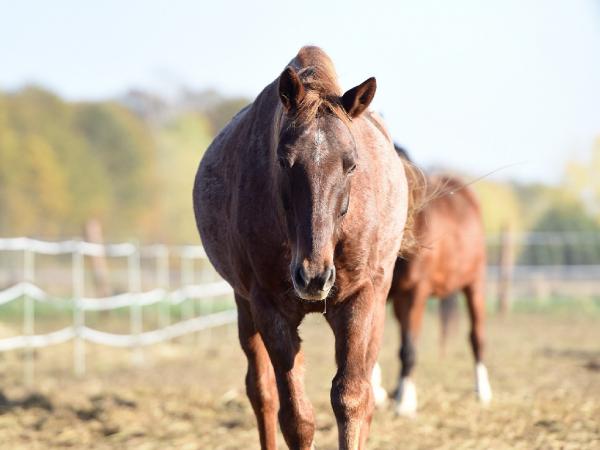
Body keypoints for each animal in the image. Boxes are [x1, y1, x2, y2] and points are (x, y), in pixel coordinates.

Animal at [192, 46, 408, 450]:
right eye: (283, 160)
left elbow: (351, 398)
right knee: (261, 392)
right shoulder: (269, 308)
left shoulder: (360, 300)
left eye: (351, 164)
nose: (313, 277)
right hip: (245, 307)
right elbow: (295, 417)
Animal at [382, 146, 490, 416]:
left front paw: (405, 404)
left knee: (477, 336)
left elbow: (409, 349)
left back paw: (483, 392)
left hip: (474, 285)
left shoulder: (416, 293)